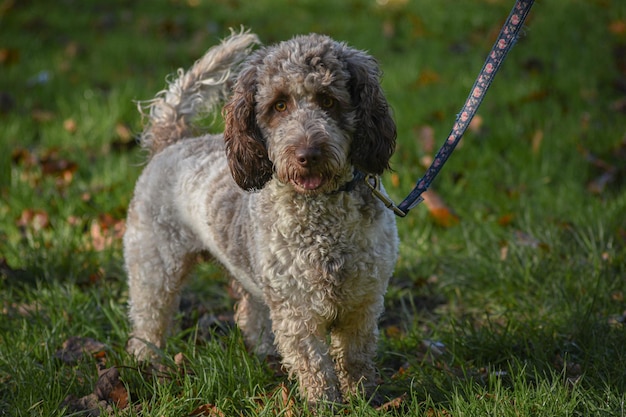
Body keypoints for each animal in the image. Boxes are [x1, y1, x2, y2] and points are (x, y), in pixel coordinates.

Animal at [124, 28, 398, 404]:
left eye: (328, 100)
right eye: (279, 105)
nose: (307, 155)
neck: (323, 217)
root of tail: (172, 142)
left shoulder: (362, 304)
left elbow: (355, 359)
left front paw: (363, 400)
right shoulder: (297, 313)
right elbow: (316, 367)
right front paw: (326, 404)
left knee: (248, 312)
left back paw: (264, 352)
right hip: (154, 266)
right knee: (148, 319)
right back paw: (146, 363)